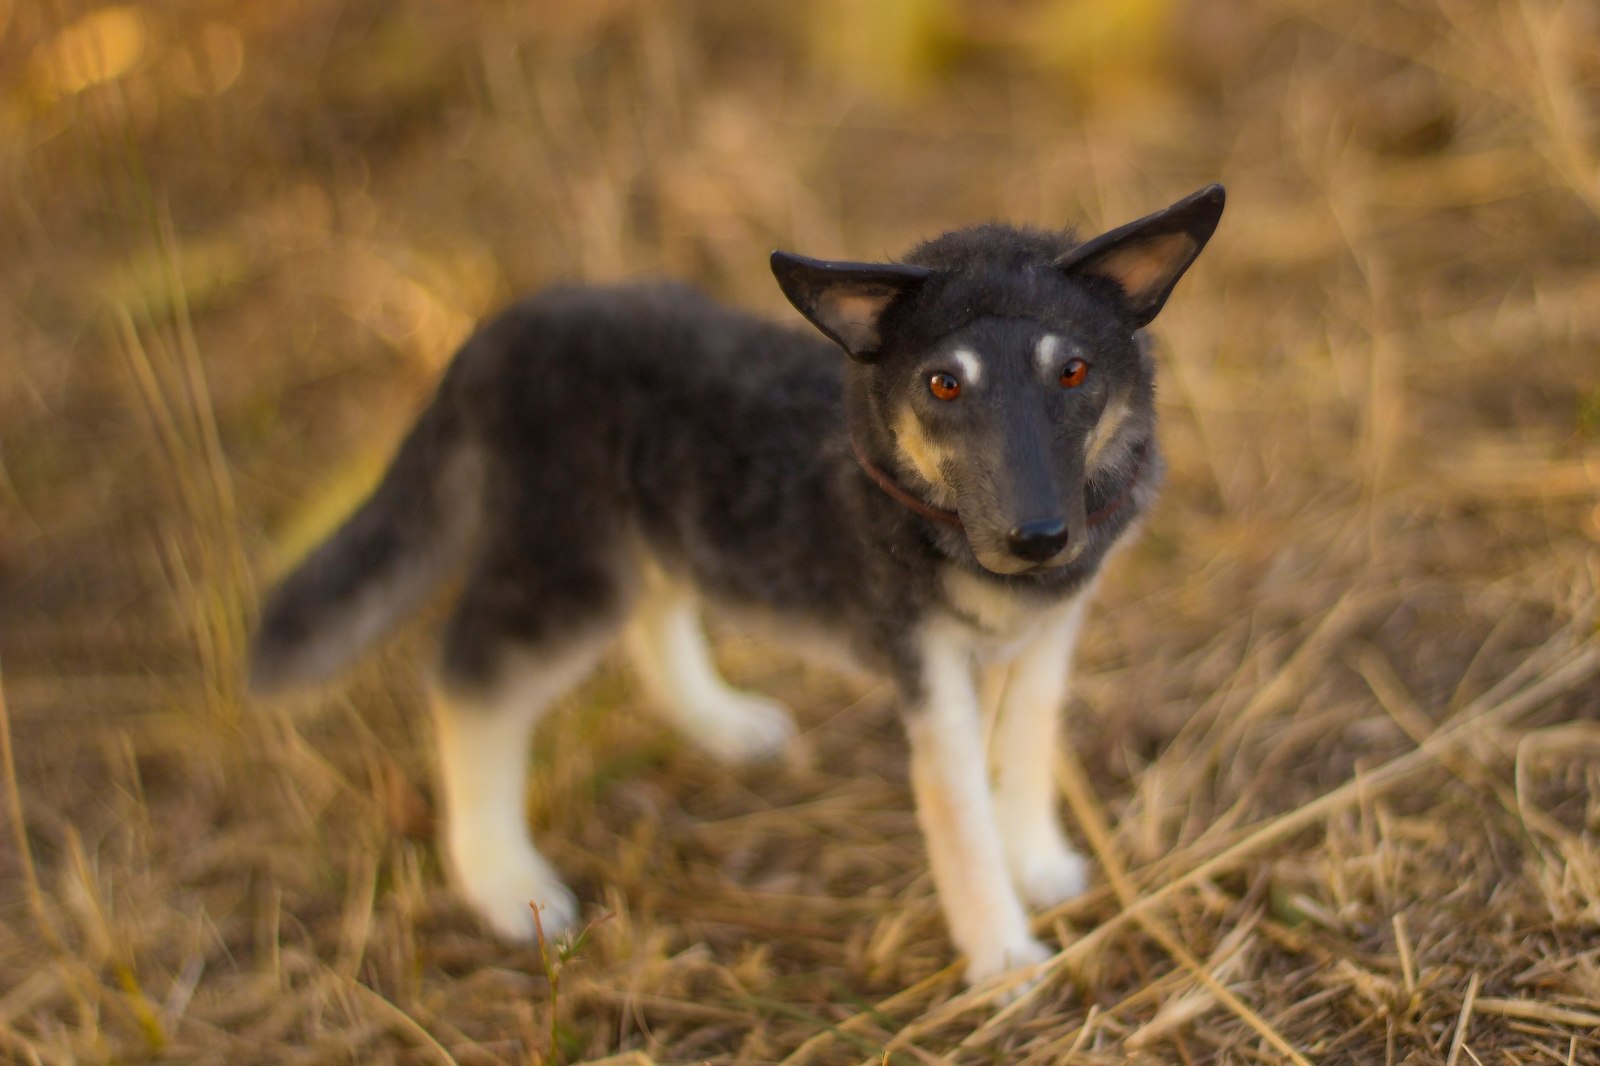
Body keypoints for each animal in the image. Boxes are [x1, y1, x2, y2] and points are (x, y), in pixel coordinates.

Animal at [249, 184, 1222, 985]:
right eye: (944, 384)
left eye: (1074, 371)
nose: (1038, 540)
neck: (927, 511)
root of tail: (492, 336)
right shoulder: (927, 668)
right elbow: (960, 813)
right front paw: (1002, 955)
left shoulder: (1047, 640)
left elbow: (1023, 753)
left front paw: (1038, 863)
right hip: (568, 567)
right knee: (466, 682)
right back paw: (501, 880)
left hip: (649, 532)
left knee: (655, 612)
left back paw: (718, 722)